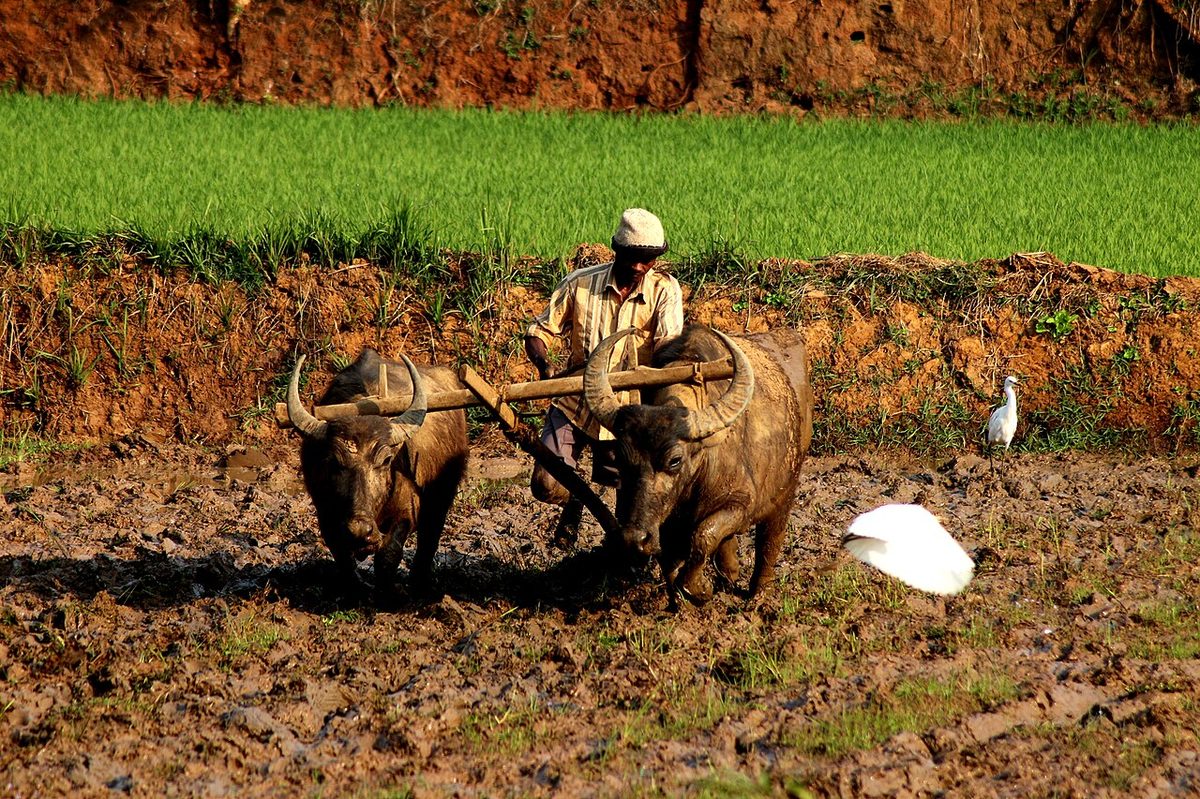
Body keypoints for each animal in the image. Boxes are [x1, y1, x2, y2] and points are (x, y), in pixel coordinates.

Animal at [286, 349, 468, 603]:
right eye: (334, 462)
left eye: (385, 460)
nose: (360, 529)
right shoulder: (325, 513)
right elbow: (341, 553)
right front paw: (354, 589)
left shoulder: (406, 512)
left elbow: (389, 552)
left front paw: (388, 592)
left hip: (442, 494)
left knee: (429, 538)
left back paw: (420, 583)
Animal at [583, 324, 813, 606]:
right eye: (622, 458)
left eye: (674, 460)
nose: (634, 539)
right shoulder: (664, 521)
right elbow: (670, 559)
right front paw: (681, 600)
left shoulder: (740, 503)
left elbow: (703, 536)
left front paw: (700, 588)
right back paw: (729, 573)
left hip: (785, 491)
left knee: (769, 541)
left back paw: (758, 595)